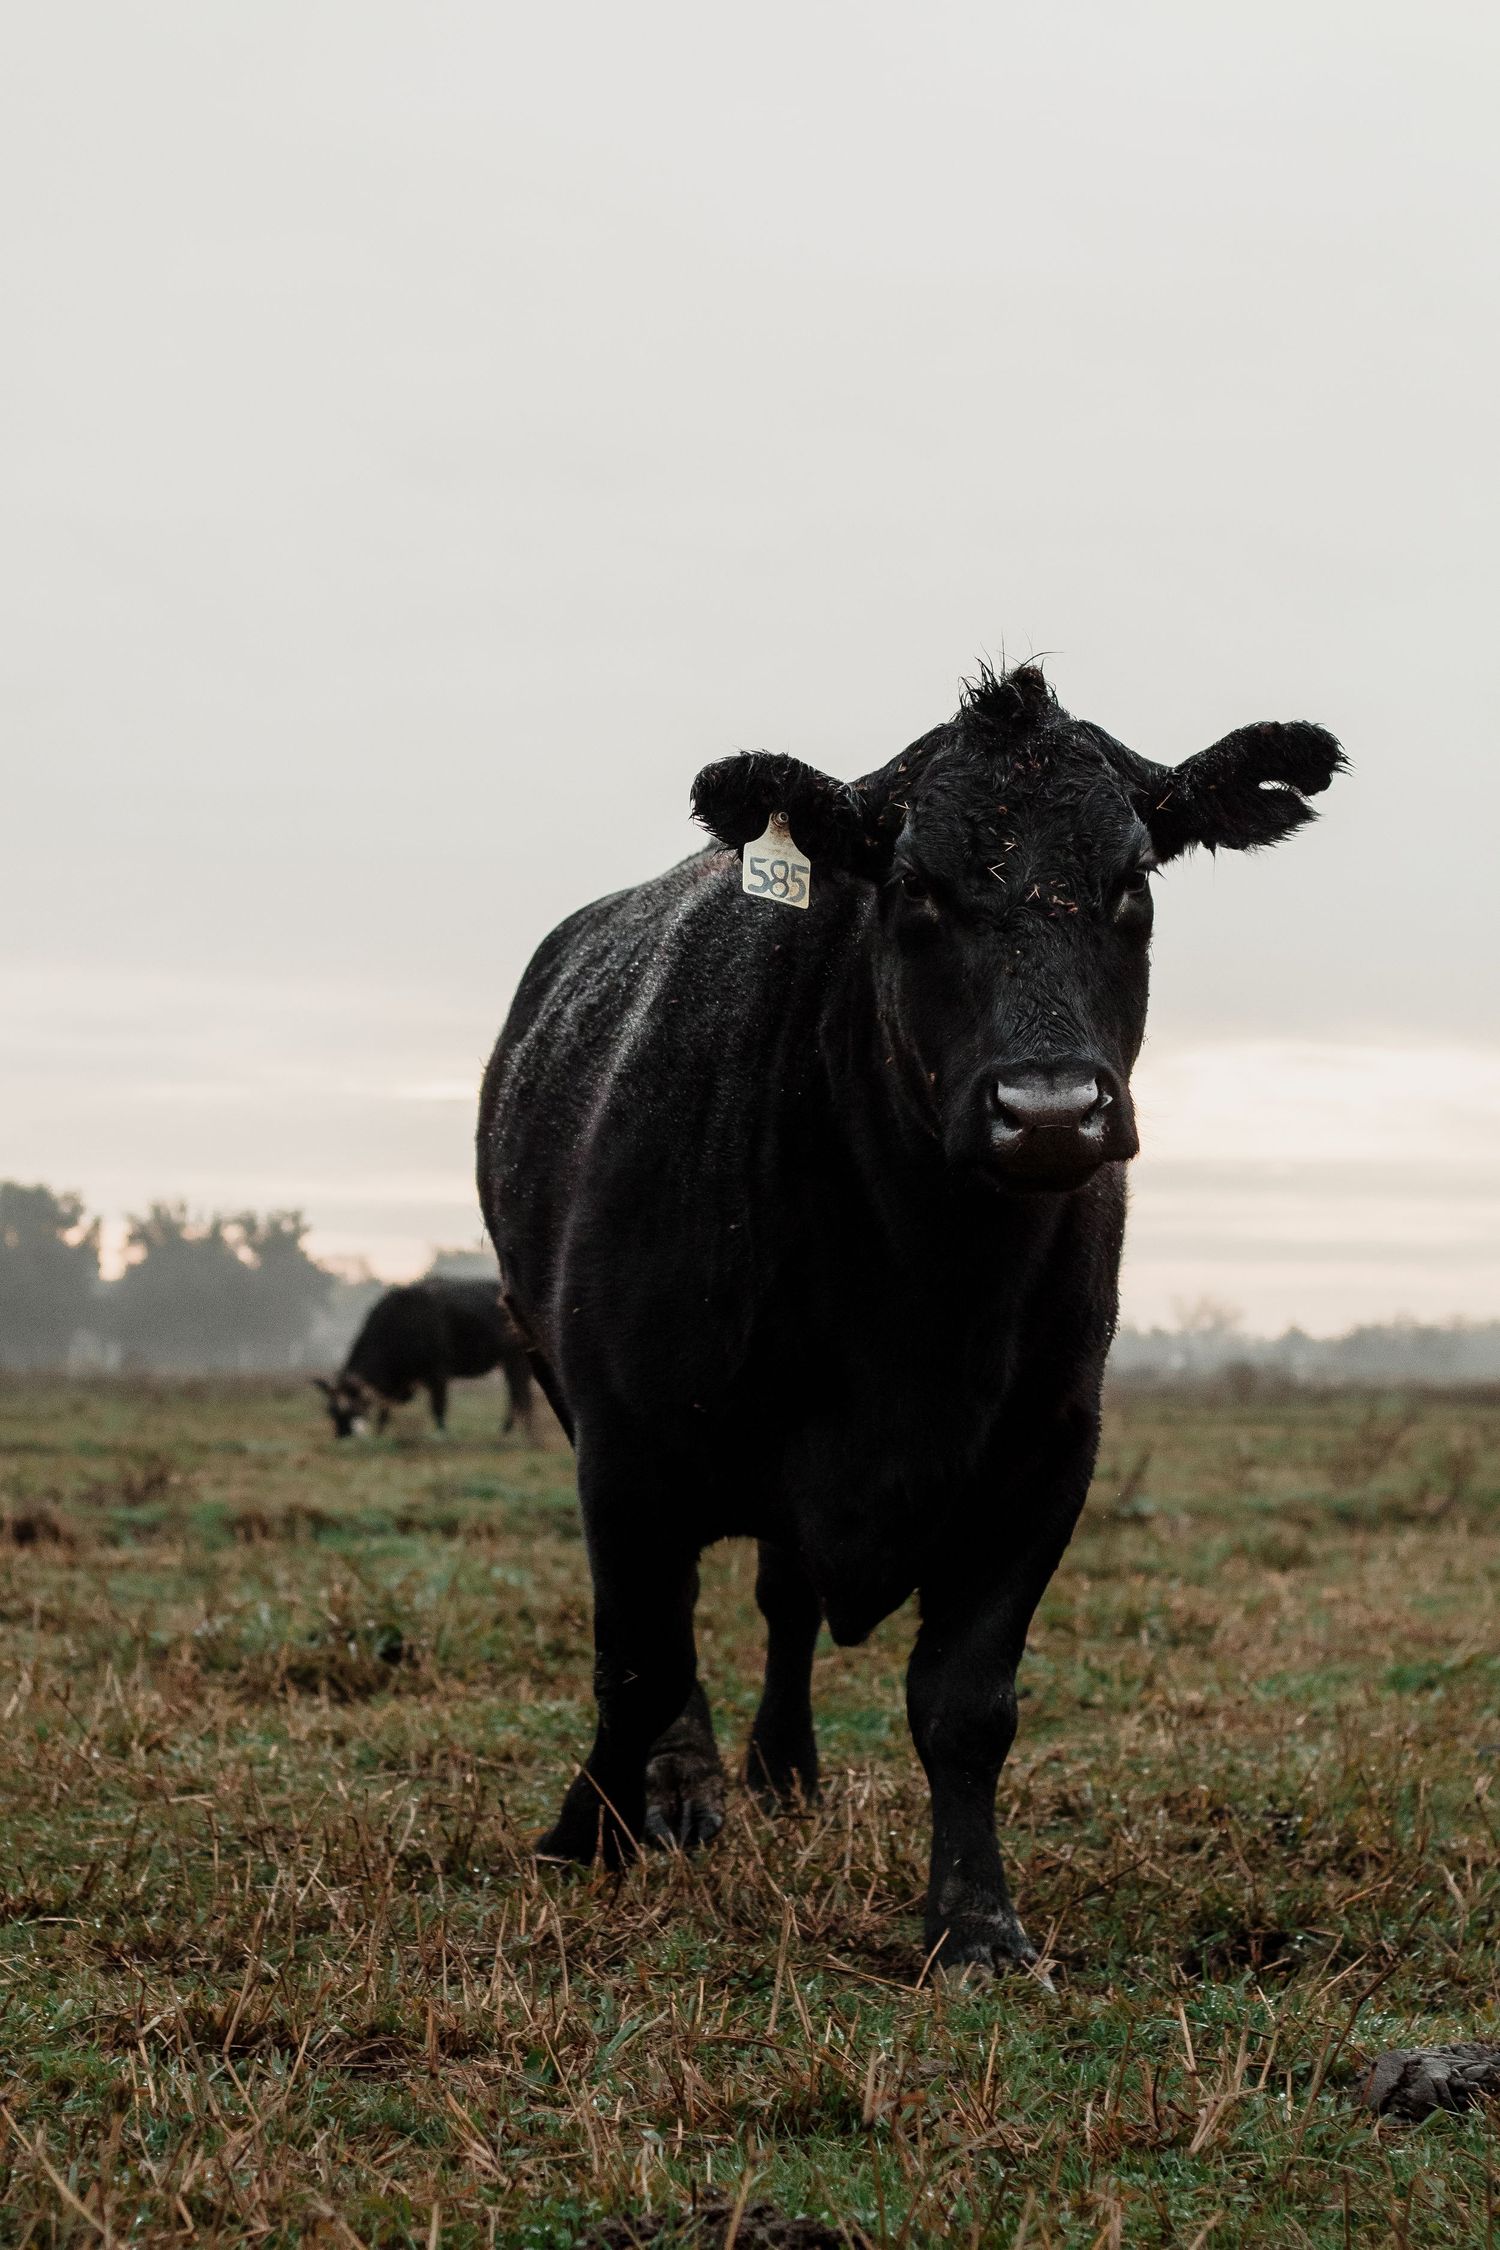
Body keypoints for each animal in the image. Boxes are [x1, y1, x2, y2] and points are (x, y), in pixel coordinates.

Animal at [315, 1279, 535, 1441]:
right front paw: (379, 1435)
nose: (342, 1437)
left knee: (520, 1395)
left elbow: (438, 1407)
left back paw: (516, 1432)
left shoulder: (438, 1373)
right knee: (517, 1394)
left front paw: (441, 1436)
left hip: (515, 1359)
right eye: (331, 1411)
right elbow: (384, 1409)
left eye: (350, 1410)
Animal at [477, 662, 1344, 1976]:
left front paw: (976, 1922)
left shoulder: (1045, 1454)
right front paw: (587, 1835)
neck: (923, 1285)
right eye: (916, 887)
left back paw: (784, 1771)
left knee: (784, 1603)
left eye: (1133, 881)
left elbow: (965, 1702)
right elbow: (638, 1663)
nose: (1050, 1109)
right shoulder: (623, 1443)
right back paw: (684, 1792)